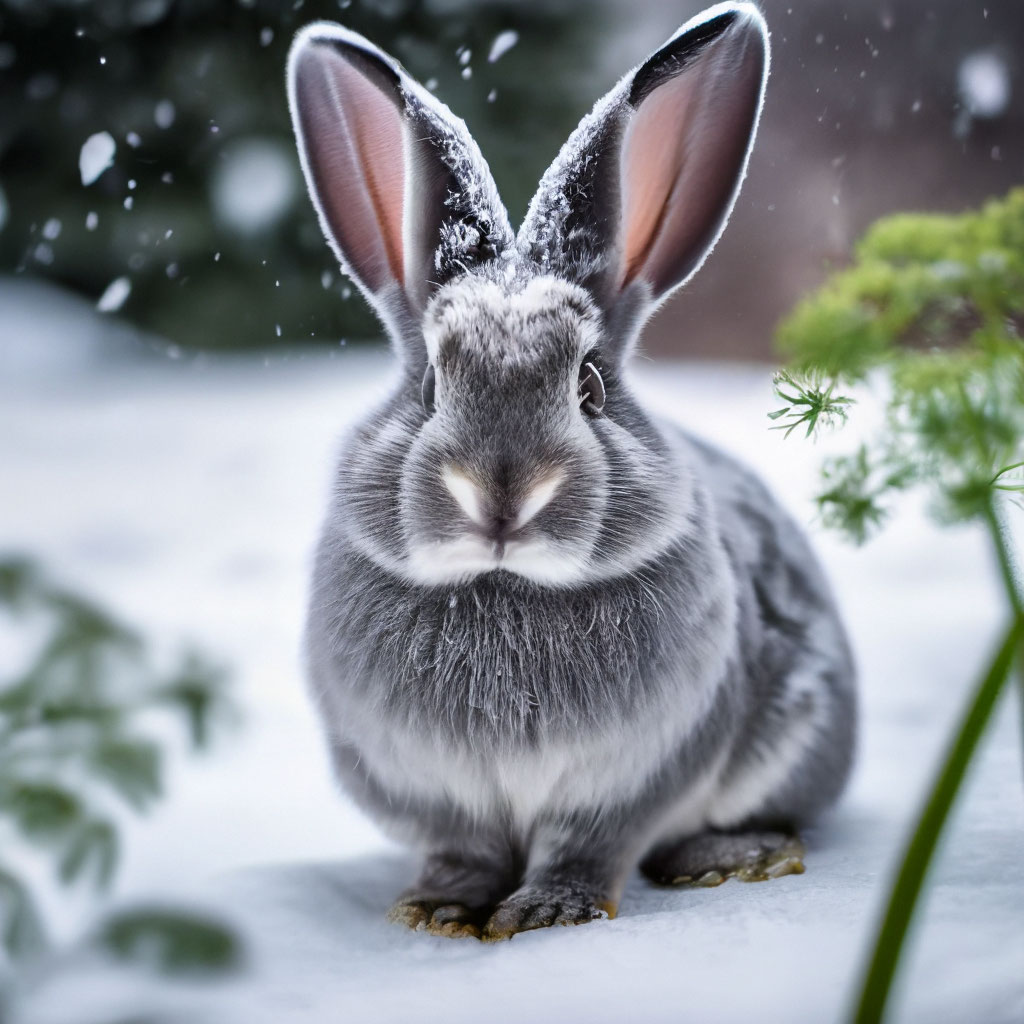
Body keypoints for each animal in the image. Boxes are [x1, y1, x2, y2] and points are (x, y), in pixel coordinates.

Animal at [286, 2, 856, 942]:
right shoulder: (440, 794)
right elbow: (466, 850)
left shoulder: (630, 778)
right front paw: (440, 907)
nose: (502, 491)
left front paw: (548, 913)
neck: (505, 584)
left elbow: (585, 847)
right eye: (430, 385)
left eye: (589, 386)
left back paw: (733, 857)